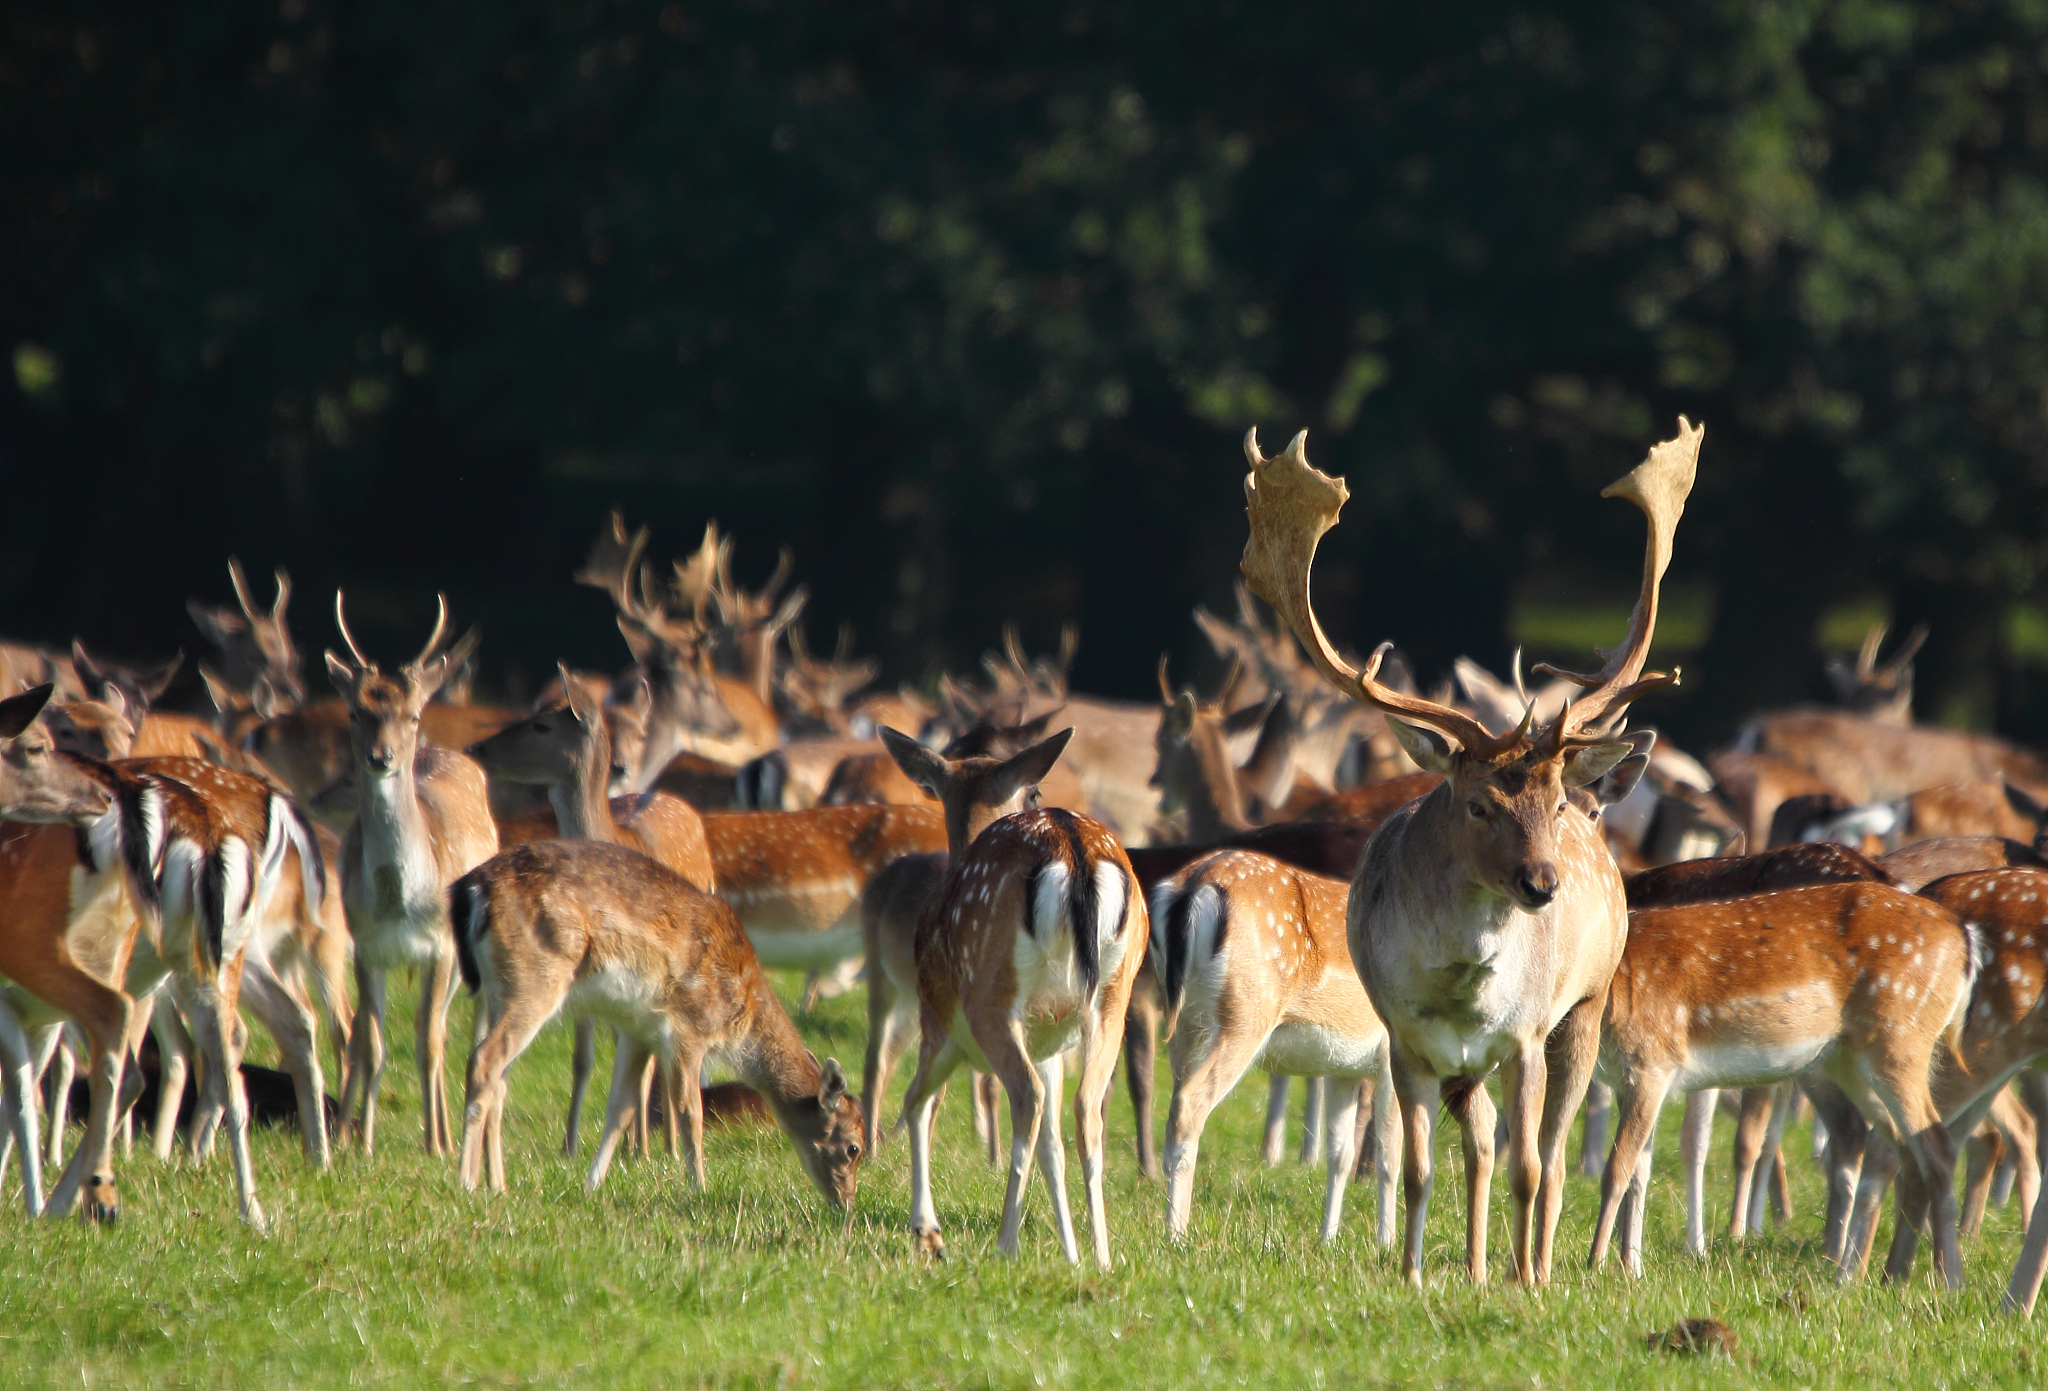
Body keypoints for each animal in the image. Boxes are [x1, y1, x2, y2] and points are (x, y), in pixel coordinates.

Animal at [326, 593, 501, 1156]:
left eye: (414, 713)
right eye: (355, 711)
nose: (381, 757)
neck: (395, 896)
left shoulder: (441, 947)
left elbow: (428, 1043)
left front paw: (435, 1147)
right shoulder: (366, 946)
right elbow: (372, 1043)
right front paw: (359, 1143)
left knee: (448, 1030)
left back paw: (447, 1135)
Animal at [451, 838, 864, 1204]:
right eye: (853, 1148)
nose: (845, 1202)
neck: (737, 1016)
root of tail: (473, 887)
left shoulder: (637, 1030)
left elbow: (619, 1109)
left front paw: (591, 1186)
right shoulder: (686, 1030)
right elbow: (690, 1113)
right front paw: (699, 1189)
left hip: (494, 990)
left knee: (499, 1079)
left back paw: (498, 1185)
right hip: (534, 978)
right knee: (485, 1061)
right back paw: (466, 1183)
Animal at [468, 664, 717, 1155]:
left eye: (542, 726)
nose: (478, 747)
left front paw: (645, 1150)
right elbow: (583, 1057)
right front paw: (569, 1143)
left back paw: (659, 1145)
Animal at [1151, 848, 1398, 1246]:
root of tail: (1191, 886)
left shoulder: (1343, 1067)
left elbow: (1339, 1154)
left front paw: (1328, 1239)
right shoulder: (1394, 1051)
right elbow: (1390, 1154)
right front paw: (1386, 1245)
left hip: (1184, 1025)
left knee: (1174, 1104)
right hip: (1246, 1014)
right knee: (1191, 1105)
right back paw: (1176, 1234)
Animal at [1239, 418, 1701, 1286]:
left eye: (1553, 802)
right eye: (1479, 802)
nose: (1543, 883)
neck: (1457, 985)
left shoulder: (1523, 1034)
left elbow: (1531, 1164)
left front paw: (1528, 1279)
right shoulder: (1406, 1040)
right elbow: (1423, 1166)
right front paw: (1417, 1271)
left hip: (1584, 1008)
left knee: (1550, 1156)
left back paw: (1538, 1264)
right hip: (1469, 1062)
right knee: (1480, 1144)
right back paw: (1480, 1263)